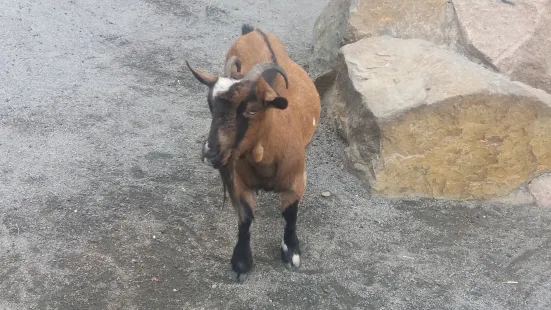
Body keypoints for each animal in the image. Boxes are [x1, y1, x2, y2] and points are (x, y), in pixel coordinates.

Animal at [188, 25, 322, 280]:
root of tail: (253, 30)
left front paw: (291, 253)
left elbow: (290, 215)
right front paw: (241, 262)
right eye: (210, 106)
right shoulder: (239, 182)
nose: (211, 152)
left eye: (251, 110)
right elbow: (246, 218)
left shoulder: (297, 179)